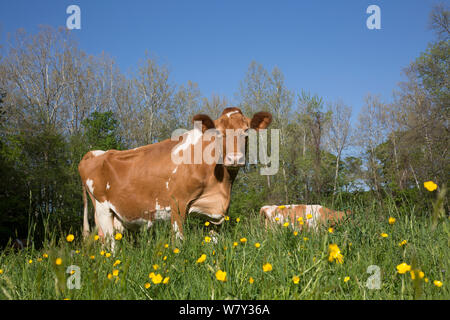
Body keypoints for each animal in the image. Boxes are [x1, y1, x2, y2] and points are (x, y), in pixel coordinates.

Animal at [79, 107, 272, 245]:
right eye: (218, 133)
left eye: (246, 131)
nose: (234, 159)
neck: (222, 186)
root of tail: (95, 153)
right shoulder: (177, 204)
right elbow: (178, 242)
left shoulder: (216, 213)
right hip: (103, 208)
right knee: (110, 244)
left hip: (117, 215)